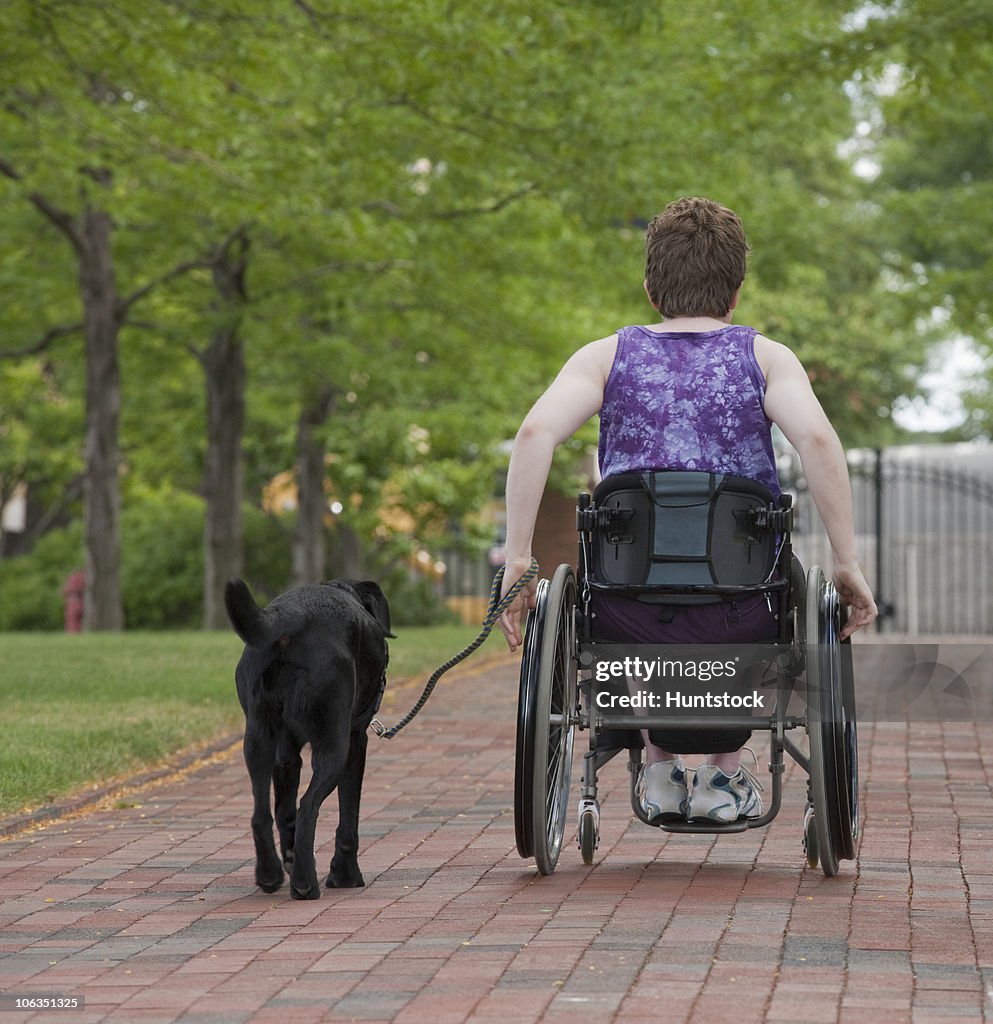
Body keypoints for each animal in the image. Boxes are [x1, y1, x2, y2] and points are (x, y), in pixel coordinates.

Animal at [226, 581, 393, 901]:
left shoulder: (285, 754)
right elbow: (348, 818)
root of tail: (290, 619)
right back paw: (305, 882)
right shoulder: (355, 740)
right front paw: (345, 876)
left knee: (262, 814)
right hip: (333, 747)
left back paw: (270, 873)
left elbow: (284, 810)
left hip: (257, 740)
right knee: (308, 807)